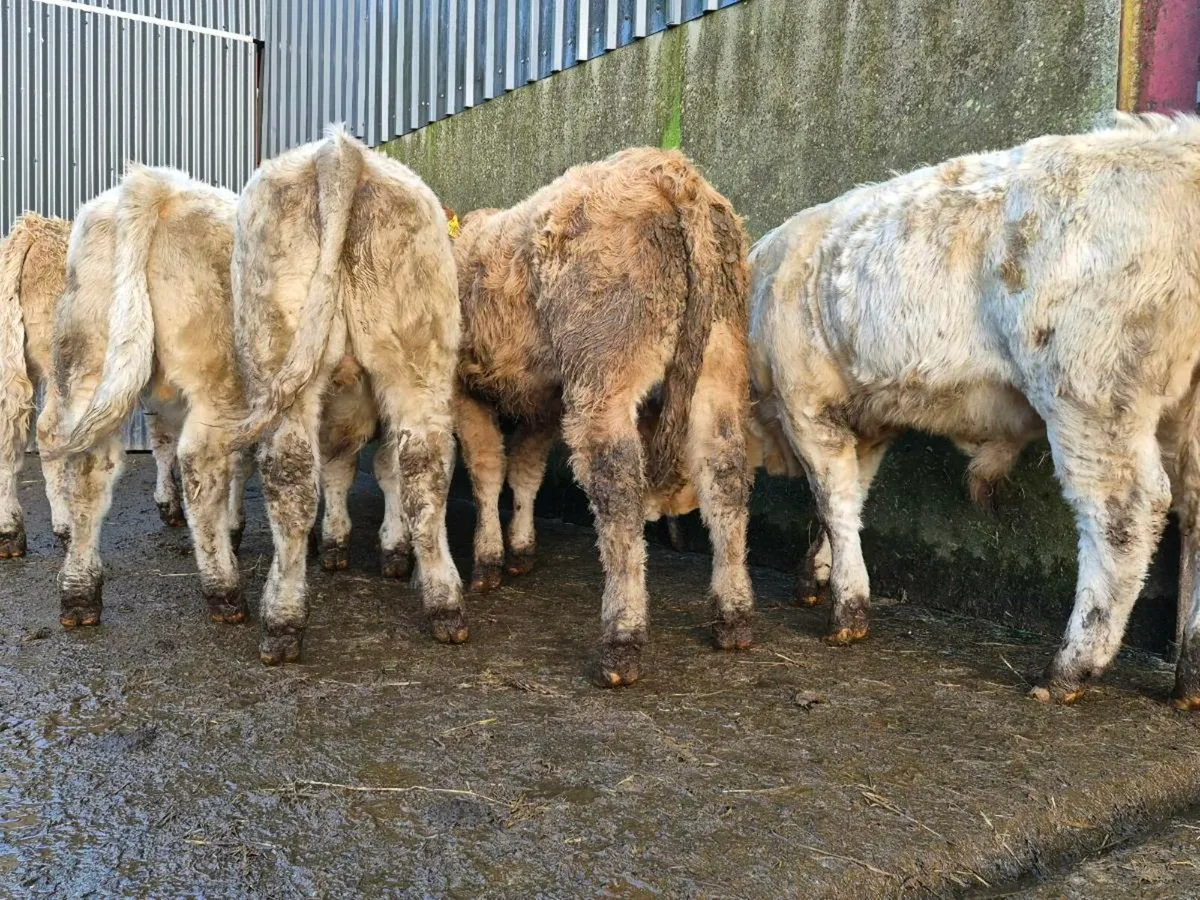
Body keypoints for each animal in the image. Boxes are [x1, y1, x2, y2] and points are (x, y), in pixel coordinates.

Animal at [231, 127, 465, 666]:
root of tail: (339, 152)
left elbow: (342, 470)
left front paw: (340, 541)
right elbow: (362, 468)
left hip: (277, 360)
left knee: (292, 476)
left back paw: (282, 616)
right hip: (417, 365)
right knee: (424, 471)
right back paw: (445, 606)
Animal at [451, 147, 754, 687]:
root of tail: (668, 169)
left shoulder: (466, 387)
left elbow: (486, 469)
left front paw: (487, 561)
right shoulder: (546, 401)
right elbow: (524, 471)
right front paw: (520, 549)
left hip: (603, 378)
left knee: (619, 494)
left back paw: (622, 640)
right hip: (717, 368)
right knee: (726, 480)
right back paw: (733, 617)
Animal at [748, 112, 1200, 708]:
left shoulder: (806, 401)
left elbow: (835, 498)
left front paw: (847, 612)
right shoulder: (866, 419)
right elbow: (848, 496)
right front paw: (816, 576)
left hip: (1091, 393)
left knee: (1125, 513)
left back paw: (1067, 670)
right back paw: (1190, 679)